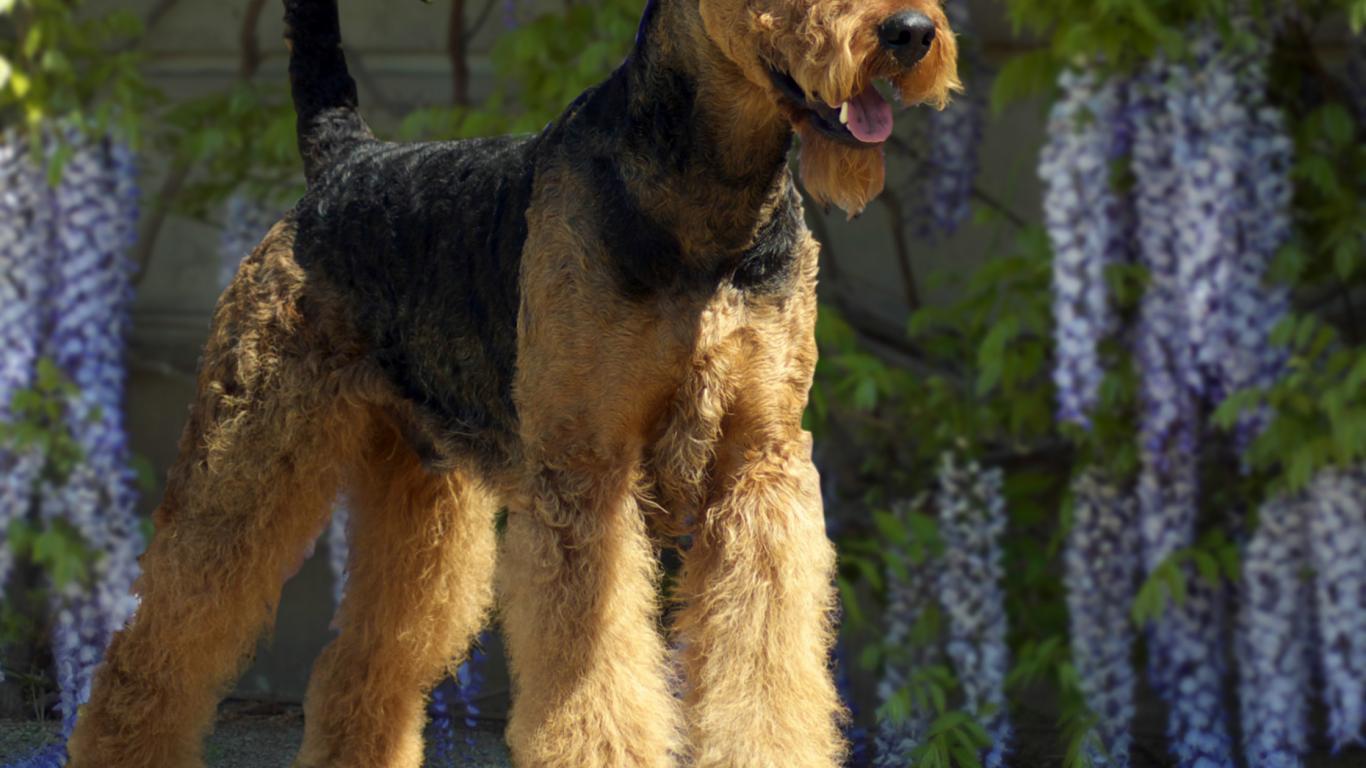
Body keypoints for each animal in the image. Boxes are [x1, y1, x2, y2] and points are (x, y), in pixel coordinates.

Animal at [66, 0, 958, 765]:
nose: (912, 33)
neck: (711, 199)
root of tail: (345, 161)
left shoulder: (760, 466)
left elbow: (765, 665)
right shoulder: (585, 471)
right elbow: (594, 680)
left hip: (422, 490)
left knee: (365, 660)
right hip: (247, 452)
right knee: (154, 649)